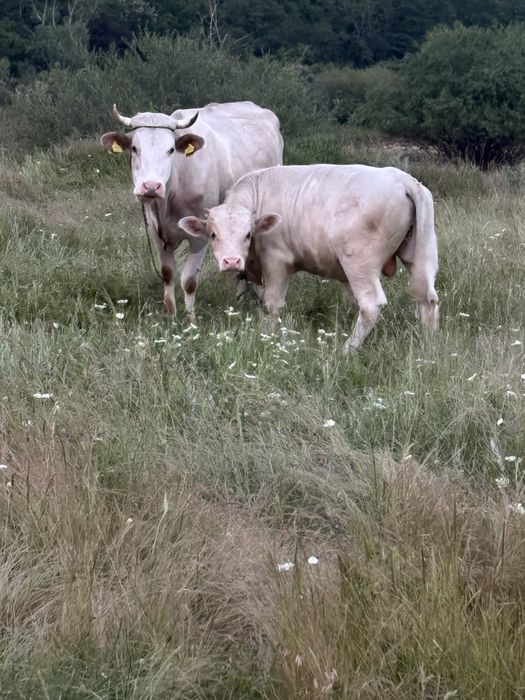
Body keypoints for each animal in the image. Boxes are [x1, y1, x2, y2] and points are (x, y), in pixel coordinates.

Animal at [100, 101, 283, 317]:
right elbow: (168, 273)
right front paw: (170, 315)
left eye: (171, 149)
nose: (151, 186)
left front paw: (190, 318)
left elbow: (188, 280)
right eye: (135, 148)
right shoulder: (155, 232)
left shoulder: (200, 236)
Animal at [178, 164, 439, 353]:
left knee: (371, 305)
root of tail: (402, 179)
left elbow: (271, 304)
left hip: (359, 264)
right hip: (421, 255)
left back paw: (347, 350)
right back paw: (427, 347)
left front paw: (266, 337)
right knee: (427, 299)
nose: (232, 261)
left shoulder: (277, 261)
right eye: (213, 235)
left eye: (248, 234)